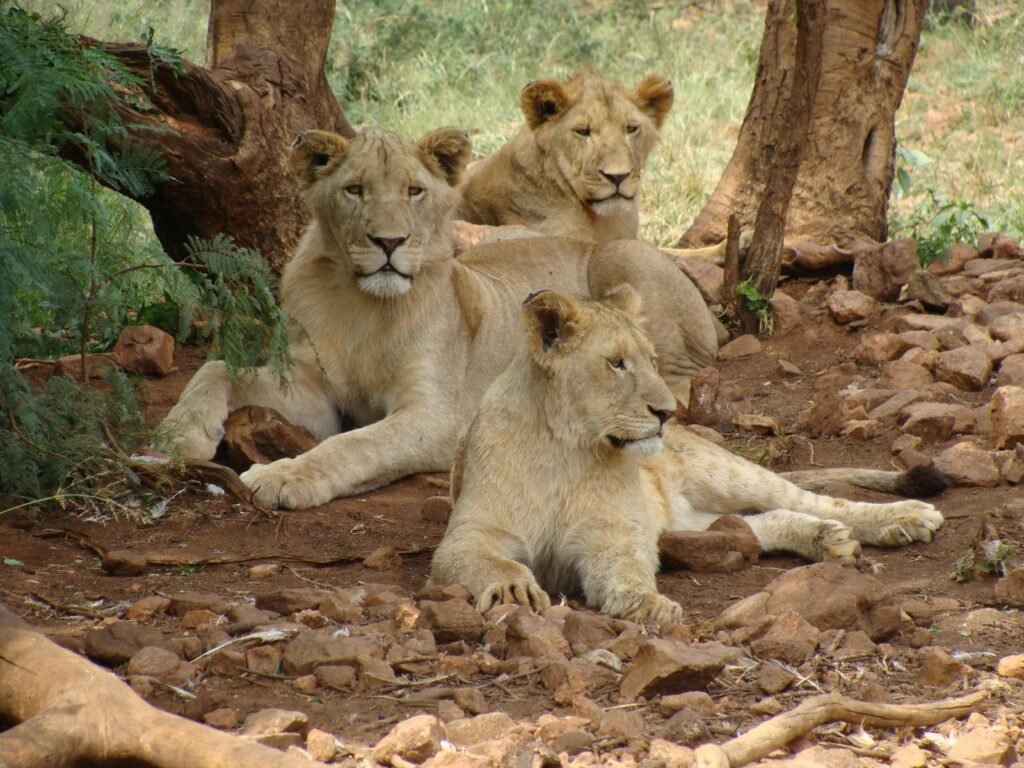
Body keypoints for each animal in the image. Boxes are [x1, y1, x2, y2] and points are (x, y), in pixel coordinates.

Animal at [157, 126, 719, 510]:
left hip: (621, 259)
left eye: (414, 191)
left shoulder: (437, 416)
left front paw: (283, 477)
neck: (364, 307)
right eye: (355, 189)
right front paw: (176, 437)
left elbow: (356, 445)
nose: (389, 242)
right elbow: (216, 369)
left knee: (682, 382)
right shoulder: (314, 395)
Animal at [429, 288, 946, 624]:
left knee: (816, 500)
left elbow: (628, 568)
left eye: (653, 361)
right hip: (686, 522)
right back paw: (827, 539)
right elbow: (497, 562)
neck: (567, 447)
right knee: (757, 524)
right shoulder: (468, 535)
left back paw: (903, 518)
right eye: (617, 363)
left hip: (725, 472)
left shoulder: (611, 536)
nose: (667, 412)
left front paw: (646, 604)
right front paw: (513, 589)